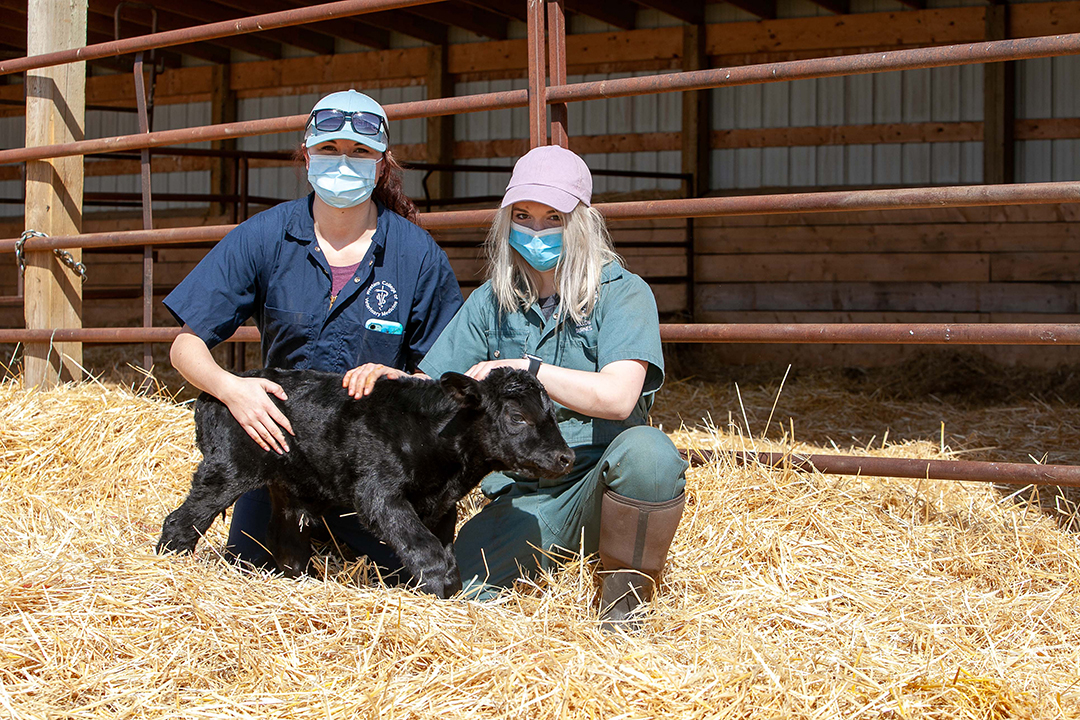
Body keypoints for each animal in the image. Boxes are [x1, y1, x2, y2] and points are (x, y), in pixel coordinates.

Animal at [156, 367, 574, 595]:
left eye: (553, 414)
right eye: (517, 417)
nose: (565, 457)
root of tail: (221, 387)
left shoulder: (443, 507)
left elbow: (441, 549)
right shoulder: (378, 494)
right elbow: (425, 549)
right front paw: (440, 589)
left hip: (288, 487)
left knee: (286, 543)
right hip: (228, 468)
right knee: (181, 520)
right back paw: (167, 565)